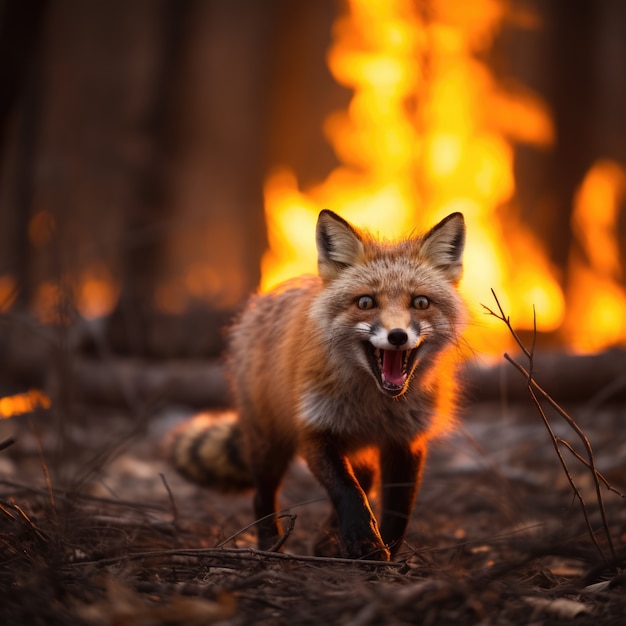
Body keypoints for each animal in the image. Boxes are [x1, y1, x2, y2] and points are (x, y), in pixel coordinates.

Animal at [169, 207, 464, 560]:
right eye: (366, 303)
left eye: (420, 303)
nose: (397, 336)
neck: (375, 404)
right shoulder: (314, 429)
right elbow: (348, 492)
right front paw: (364, 543)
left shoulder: (406, 440)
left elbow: (397, 511)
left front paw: (384, 552)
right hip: (269, 445)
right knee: (262, 496)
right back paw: (271, 547)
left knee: (364, 478)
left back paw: (326, 539)